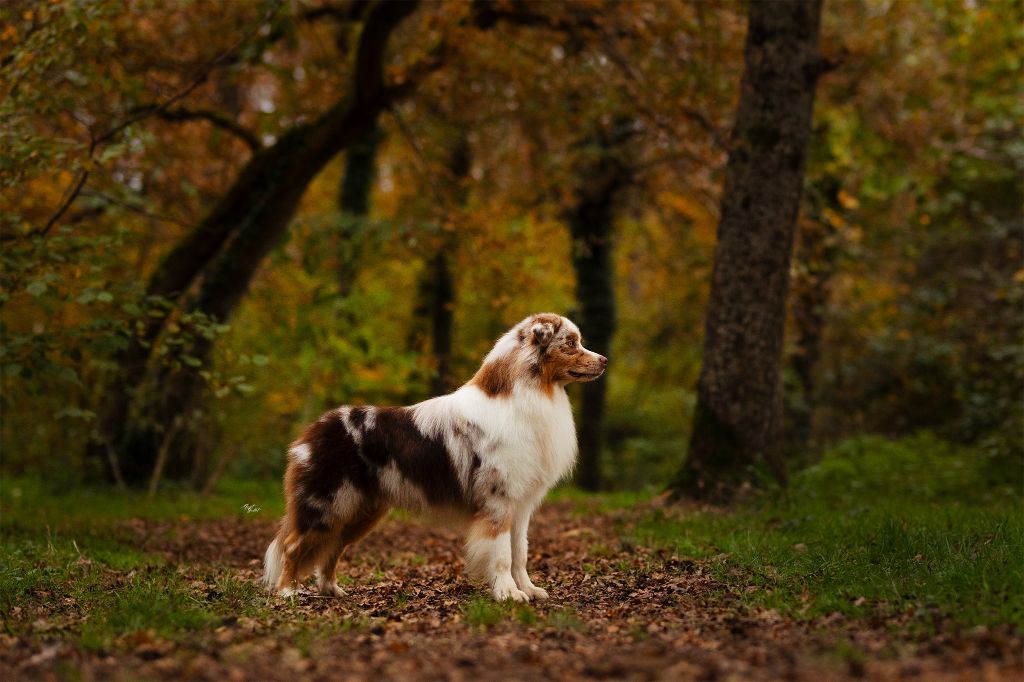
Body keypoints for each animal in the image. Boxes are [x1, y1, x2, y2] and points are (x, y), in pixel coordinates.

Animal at [260, 311, 606, 598]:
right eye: (571, 343)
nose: (604, 360)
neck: (529, 394)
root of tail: (313, 429)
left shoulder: (521, 506)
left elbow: (520, 552)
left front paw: (529, 589)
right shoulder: (498, 500)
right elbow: (502, 554)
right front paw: (508, 593)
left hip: (360, 511)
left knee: (332, 549)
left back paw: (331, 590)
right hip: (326, 504)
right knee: (292, 546)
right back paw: (287, 591)